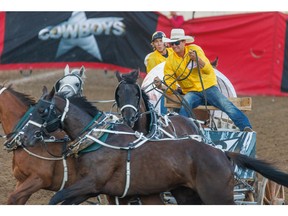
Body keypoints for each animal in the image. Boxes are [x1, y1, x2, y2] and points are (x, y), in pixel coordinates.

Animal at [17, 87, 288, 204]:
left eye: (41, 111)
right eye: (31, 108)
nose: (24, 137)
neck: (100, 140)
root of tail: (223, 152)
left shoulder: (91, 183)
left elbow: (56, 198)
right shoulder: (92, 189)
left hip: (217, 196)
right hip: (187, 194)